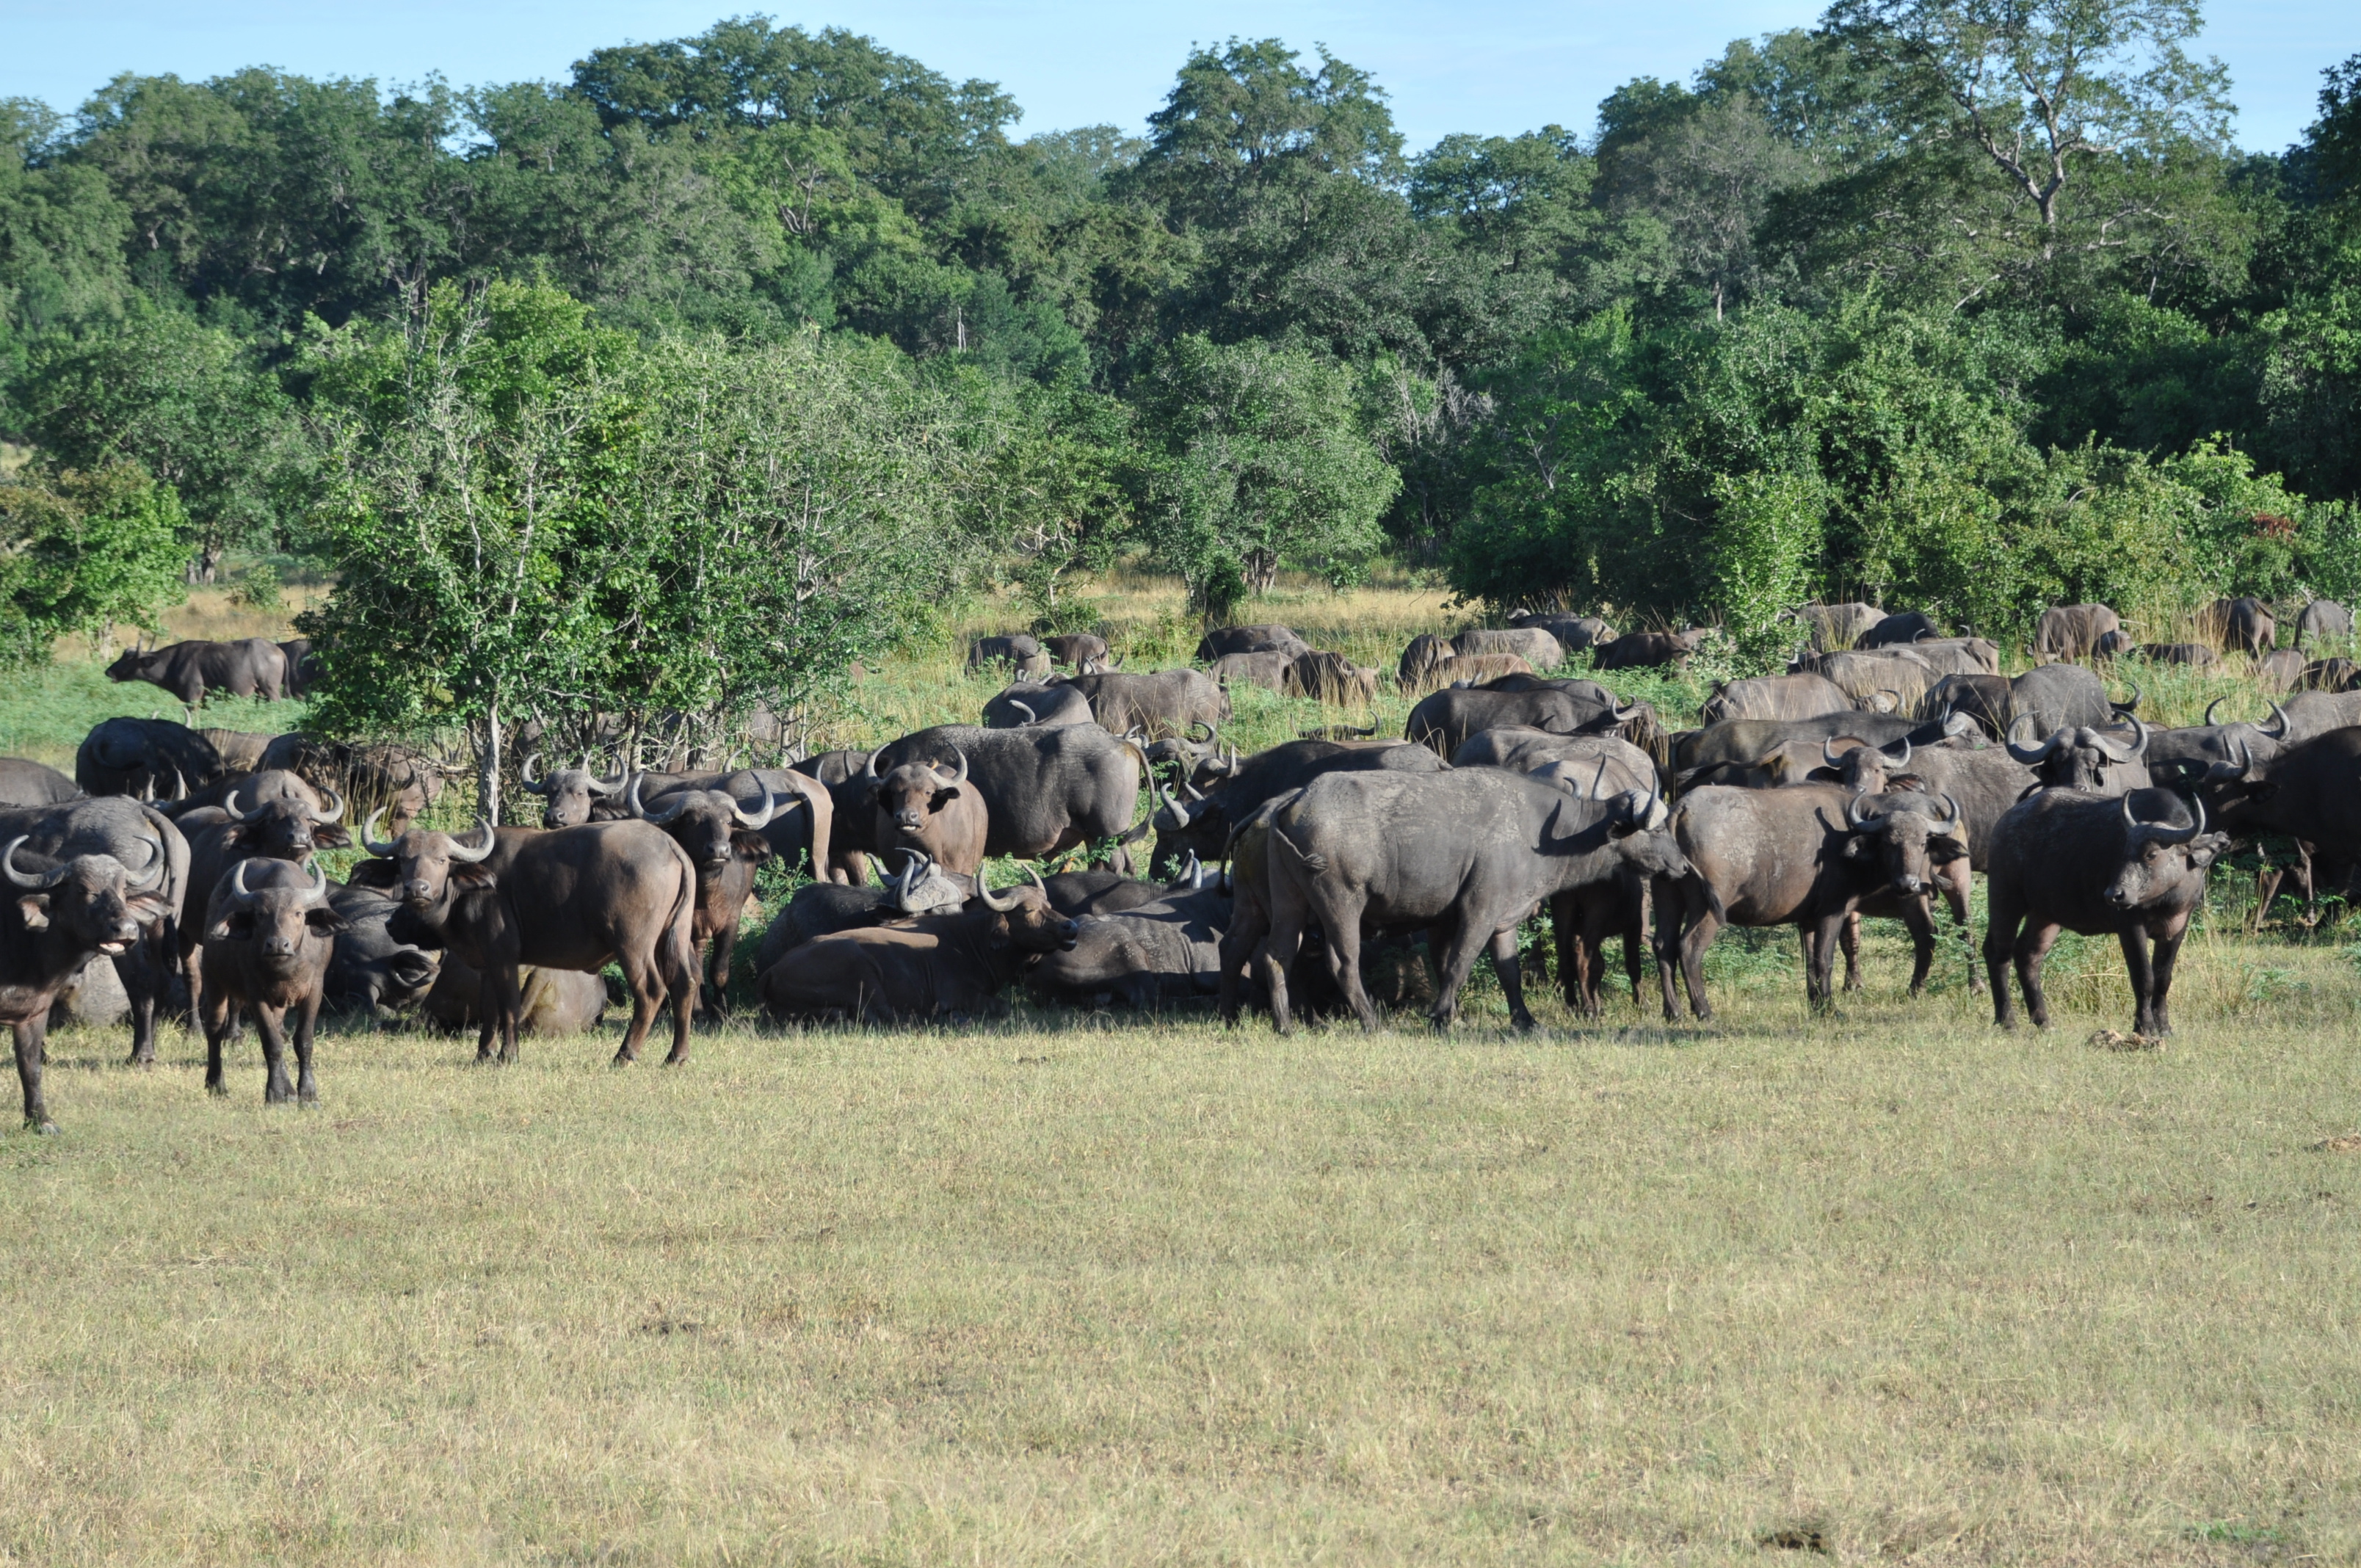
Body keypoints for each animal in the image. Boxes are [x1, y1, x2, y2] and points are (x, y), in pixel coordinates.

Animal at [104, 637, 286, 708]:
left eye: (127, 658)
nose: (108, 672)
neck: (171, 664)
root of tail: (279, 652)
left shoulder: (193, 699)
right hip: (259, 694)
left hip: (271, 690)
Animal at [197, 859, 344, 1100]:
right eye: (260, 914)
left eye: (298, 913)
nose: (277, 944)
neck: (284, 971)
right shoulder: (256, 994)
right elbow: (271, 1042)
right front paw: (274, 1094)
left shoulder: (314, 990)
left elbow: (303, 1040)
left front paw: (307, 1093)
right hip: (213, 979)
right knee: (215, 1029)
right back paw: (216, 1083)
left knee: (279, 1030)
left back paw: (289, 1090)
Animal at [349, 821, 694, 1067]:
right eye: (403, 861)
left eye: (442, 859)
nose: (416, 889)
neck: (469, 890)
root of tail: (670, 845)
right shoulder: (487, 962)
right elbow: (489, 1009)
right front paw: (483, 1055)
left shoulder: (506, 959)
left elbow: (510, 1006)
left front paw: (508, 1055)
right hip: (675, 937)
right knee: (684, 985)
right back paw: (676, 1057)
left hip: (633, 945)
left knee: (651, 991)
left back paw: (625, 1055)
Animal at [1983, 788, 2219, 1034]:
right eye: (2124, 851)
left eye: (2151, 854)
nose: (2114, 894)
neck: (2164, 901)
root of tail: (2006, 821)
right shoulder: (2129, 927)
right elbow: (2144, 978)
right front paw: (2144, 1027)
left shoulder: (2177, 928)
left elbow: (2163, 979)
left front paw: (2164, 1027)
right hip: (2005, 898)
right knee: (1998, 952)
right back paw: (2007, 1021)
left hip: (2044, 915)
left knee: (2027, 955)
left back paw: (2044, 1022)